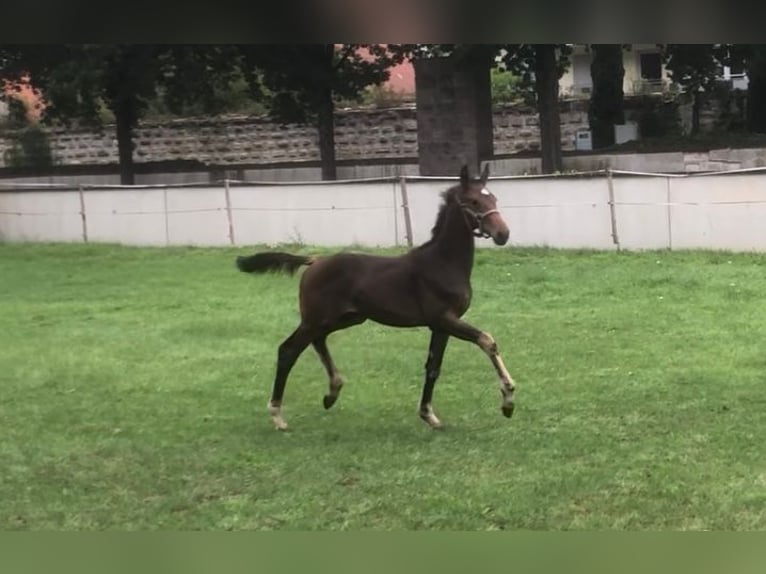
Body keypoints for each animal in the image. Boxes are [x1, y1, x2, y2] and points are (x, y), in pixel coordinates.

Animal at [235, 164, 516, 430]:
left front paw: (429, 416)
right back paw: (278, 416)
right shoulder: (444, 319)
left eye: (494, 198)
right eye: (474, 201)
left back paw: (332, 392)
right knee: (288, 350)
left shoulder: (441, 326)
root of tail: (314, 261)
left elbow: (433, 368)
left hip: (344, 318)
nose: (503, 233)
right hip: (316, 319)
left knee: (317, 341)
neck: (442, 263)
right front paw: (508, 400)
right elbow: (487, 340)